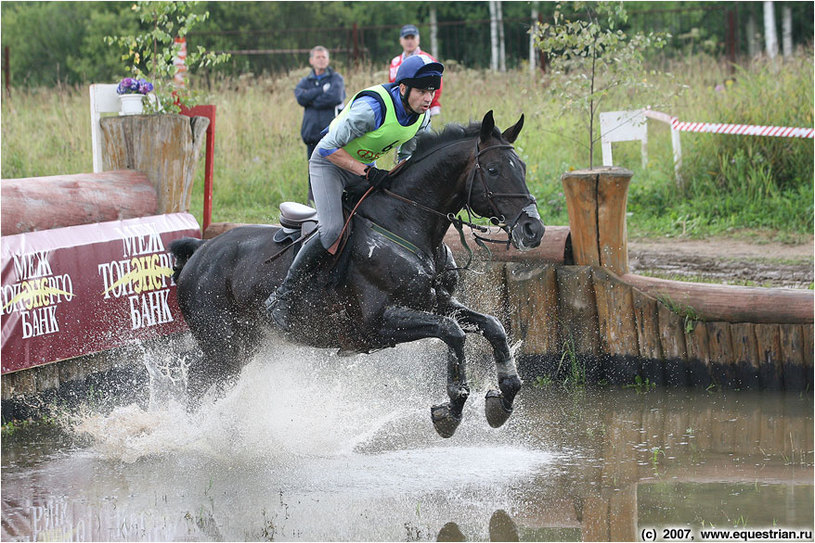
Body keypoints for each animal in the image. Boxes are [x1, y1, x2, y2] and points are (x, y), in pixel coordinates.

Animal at [171, 110, 540, 438]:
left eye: (522, 168)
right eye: (492, 170)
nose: (533, 229)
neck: (406, 223)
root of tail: (200, 250)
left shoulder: (436, 303)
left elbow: (491, 326)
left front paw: (503, 396)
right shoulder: (377, 322)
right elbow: (453, 333)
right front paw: (451, 409)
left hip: (246, 343)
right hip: (223, 346)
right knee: (198, 382)